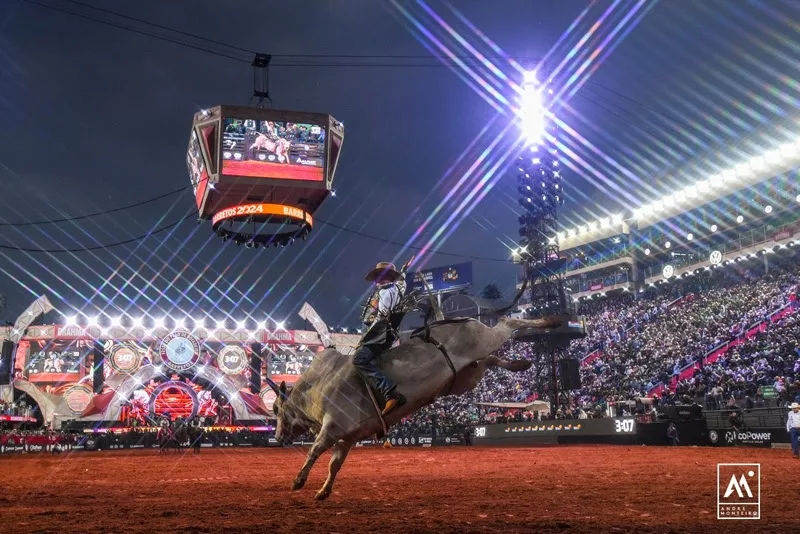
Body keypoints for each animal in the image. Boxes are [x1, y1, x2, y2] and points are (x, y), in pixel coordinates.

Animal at [266, 298, 560, 502]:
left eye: (276, 409)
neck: (317, 386)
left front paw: (298, 481)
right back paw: (522, 363)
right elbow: (334, 465)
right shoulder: (346, 439)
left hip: (487, 338)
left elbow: (315, 451)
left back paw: (551, 320)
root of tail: (459, 318)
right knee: (493, 358)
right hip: (470, 374)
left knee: (509, 323)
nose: (278, 437)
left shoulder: (332, 429)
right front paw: (323, 491)